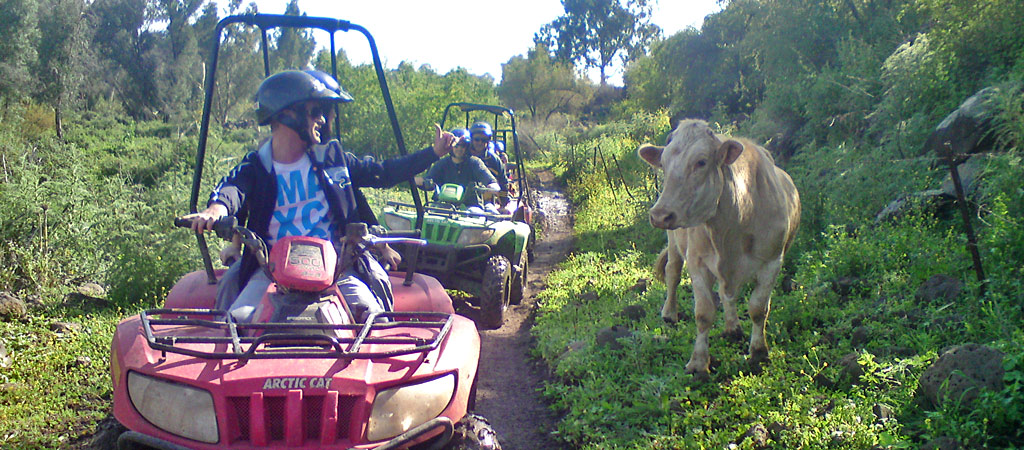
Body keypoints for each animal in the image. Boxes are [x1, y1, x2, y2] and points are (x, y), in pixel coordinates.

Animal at [638, 119, 798, 381]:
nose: (660, 215)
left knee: (726, 293)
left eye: (701, 162)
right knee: (672, 273)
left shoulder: (772, 261)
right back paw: (669, 313)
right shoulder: (698, 262)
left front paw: (758, 352)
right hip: (674, 240)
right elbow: (703, 314)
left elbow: (758, 308)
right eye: (663, 164)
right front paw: (698, 363)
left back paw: (732, 328)